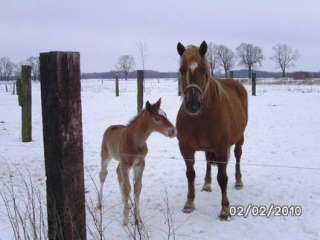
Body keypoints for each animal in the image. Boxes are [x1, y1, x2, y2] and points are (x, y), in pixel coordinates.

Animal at [175, 41, 248, 219]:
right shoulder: (186, 148)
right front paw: (189, 203)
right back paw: (207, 184)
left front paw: (225, 209)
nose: (193, 105)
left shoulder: (221, 148)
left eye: (204, 70)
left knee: (237, 156)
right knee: (208, 160)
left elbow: (222, 178)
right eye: (181, 70)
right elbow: (190, 174)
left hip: (239, 138)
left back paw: (238, 181)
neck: (199, 118)